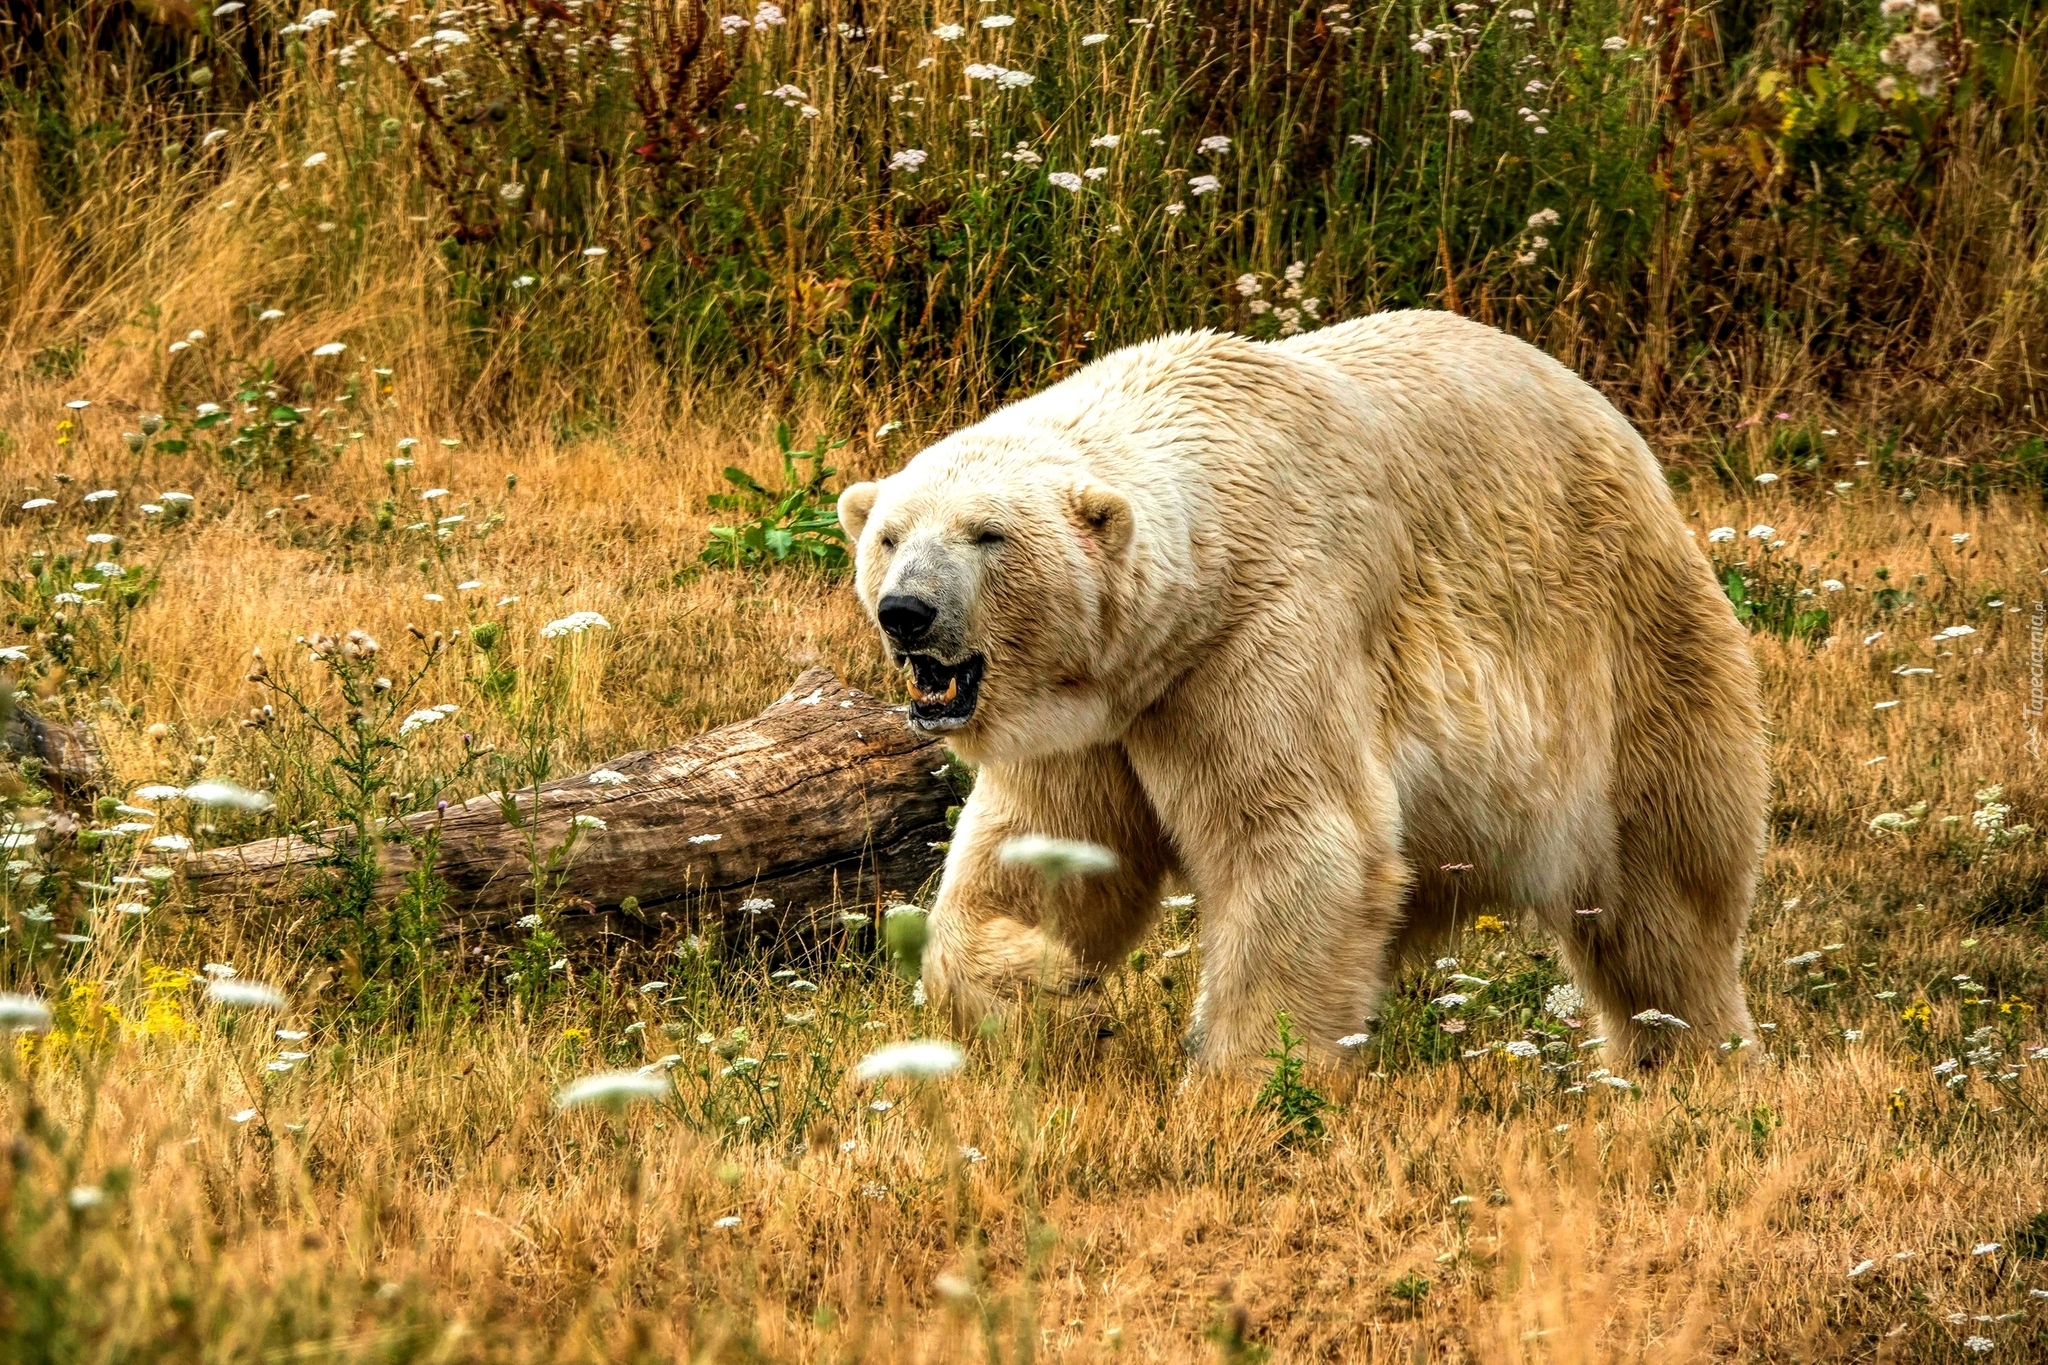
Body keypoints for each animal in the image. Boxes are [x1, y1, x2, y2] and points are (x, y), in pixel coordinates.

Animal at [839, 315, 1769, 1072]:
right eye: (889, 534)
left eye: (987, 535)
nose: (907, 611)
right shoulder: (1097, 708)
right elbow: (1045, 846)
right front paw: (1052, 985)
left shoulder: (1261, 636)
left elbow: (1299, 838)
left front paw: (1243, 1078)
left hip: (1629, 651)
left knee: (1663, 886)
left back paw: (1690, 1051)